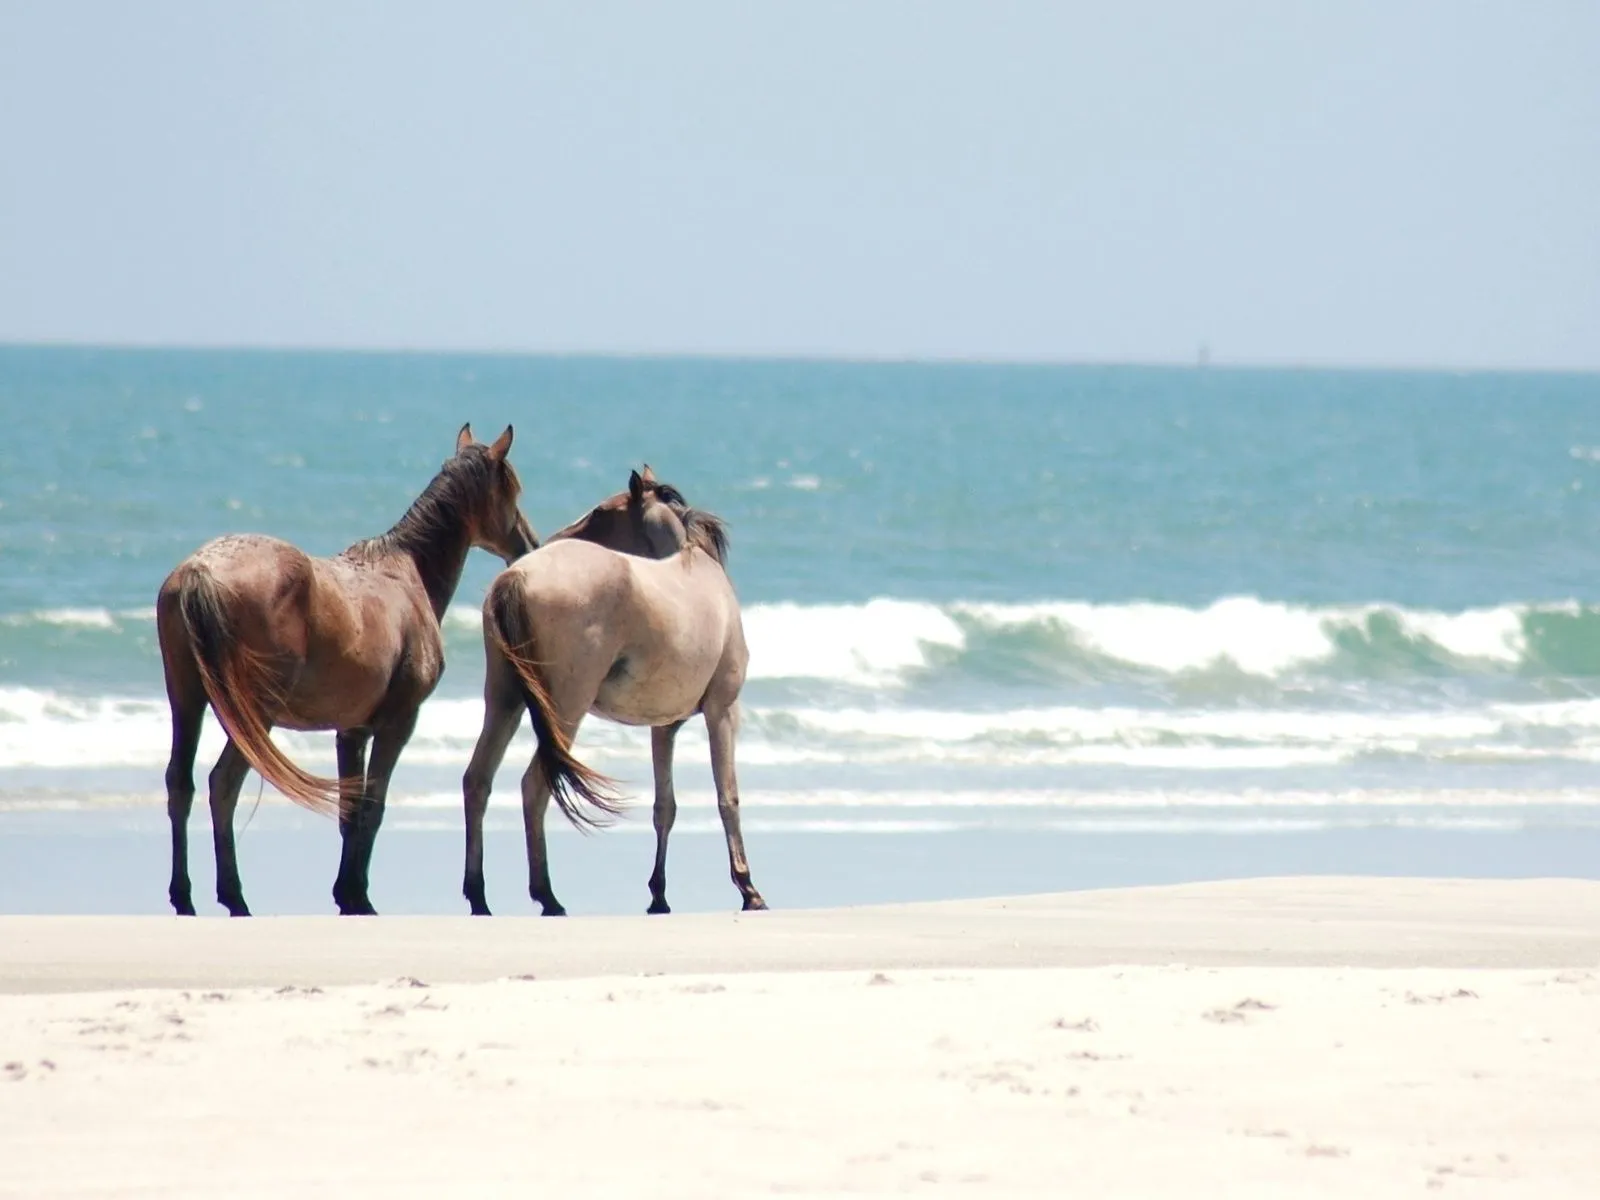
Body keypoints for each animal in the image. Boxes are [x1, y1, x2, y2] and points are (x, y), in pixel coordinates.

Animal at [160, 428, 537, 915]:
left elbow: (349, 810)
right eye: (512, 489)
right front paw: (359, 896)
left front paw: (347, 894)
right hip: (253, 715)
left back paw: (184, 897)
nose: (528, 546)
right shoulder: (398, 723)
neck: (405, 572)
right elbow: (372, 806)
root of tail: (199, 571)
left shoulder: (351, 731)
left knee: (180, 785)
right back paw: (235, 898)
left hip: (186, 701)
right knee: (222, 784)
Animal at [460, 464, 764, 915]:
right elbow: (728, 796)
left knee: (478, 781)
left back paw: (479, 896)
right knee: (535, 785)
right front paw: (748, 888)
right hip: (565, 709)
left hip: (504, 702)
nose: (543, 539)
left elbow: (665, 807)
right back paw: (548, 896)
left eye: (602, 511)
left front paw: (658, 895)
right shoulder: (722, 710)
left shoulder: (664, 727)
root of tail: (515, 577)